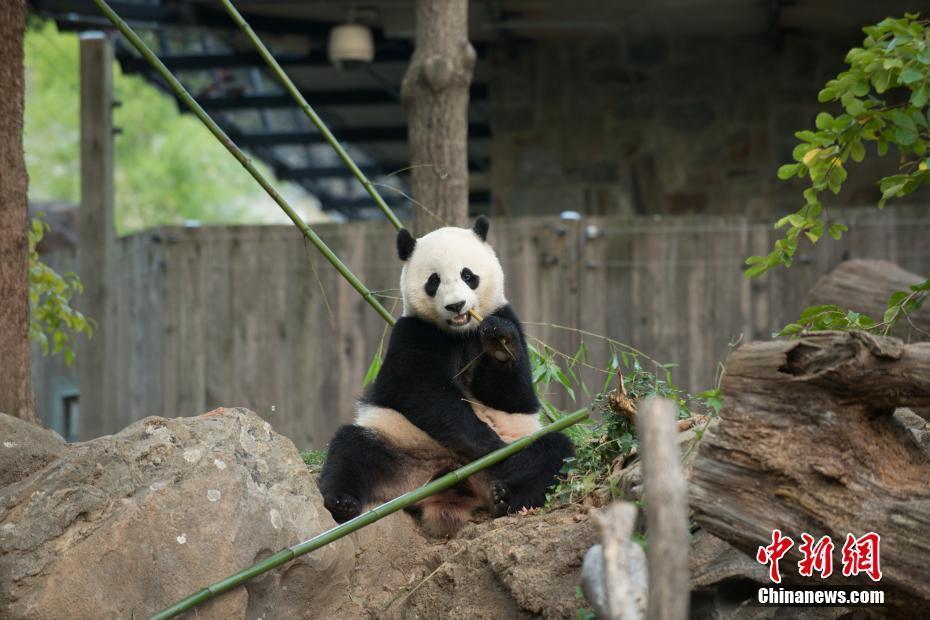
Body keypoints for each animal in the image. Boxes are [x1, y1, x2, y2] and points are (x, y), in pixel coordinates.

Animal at [318, 216, 572, 536]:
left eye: (468, 275)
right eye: (433, 281)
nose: (456, 305)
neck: (461, 332)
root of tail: (453, 481)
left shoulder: (507, 317)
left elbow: (514, 397)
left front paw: (500, 344)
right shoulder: (414, 332)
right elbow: (417, 390)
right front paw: (489, 444)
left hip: (514, 454)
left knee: (552, 452)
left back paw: (506, 496)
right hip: (399, 447)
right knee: (352, 448)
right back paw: (343, 502)